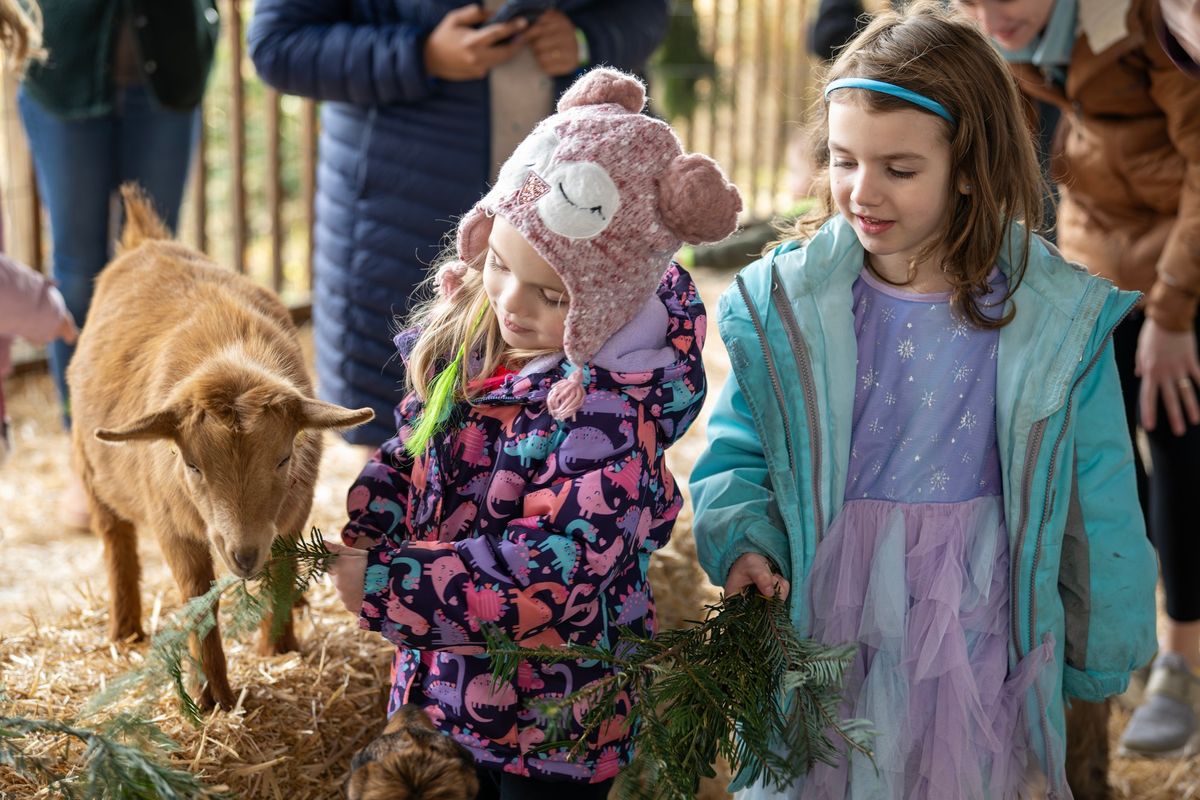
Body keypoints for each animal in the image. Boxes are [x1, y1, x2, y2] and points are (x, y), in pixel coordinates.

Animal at [71, 184, 369, 710]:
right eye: (192, 465)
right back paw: (124, 630)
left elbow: (281, 574)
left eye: (284, 458)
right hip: (91, 472)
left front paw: (279, 647)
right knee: (115, 539)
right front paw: (213, 697)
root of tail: (144, 241)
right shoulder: (175, 527)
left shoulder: (290, 514)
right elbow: (196, 599)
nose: (244, 555)